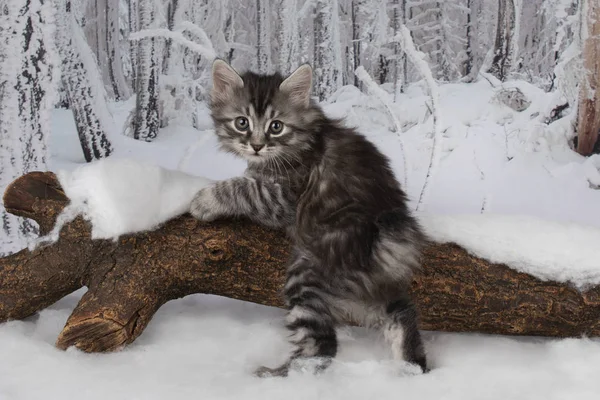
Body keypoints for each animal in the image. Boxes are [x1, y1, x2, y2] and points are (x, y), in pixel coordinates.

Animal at [190, 58, 428, 376]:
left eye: (276, 127)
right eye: (242, 122)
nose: (256, 145)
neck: (300, 141)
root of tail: (381, 232)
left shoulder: (283, 198)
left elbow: (243, 187)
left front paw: (204, 201)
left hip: (308, 272)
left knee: (322, 347)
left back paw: (279, 375)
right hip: (378, 288)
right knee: (401, 314)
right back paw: (411, 367)